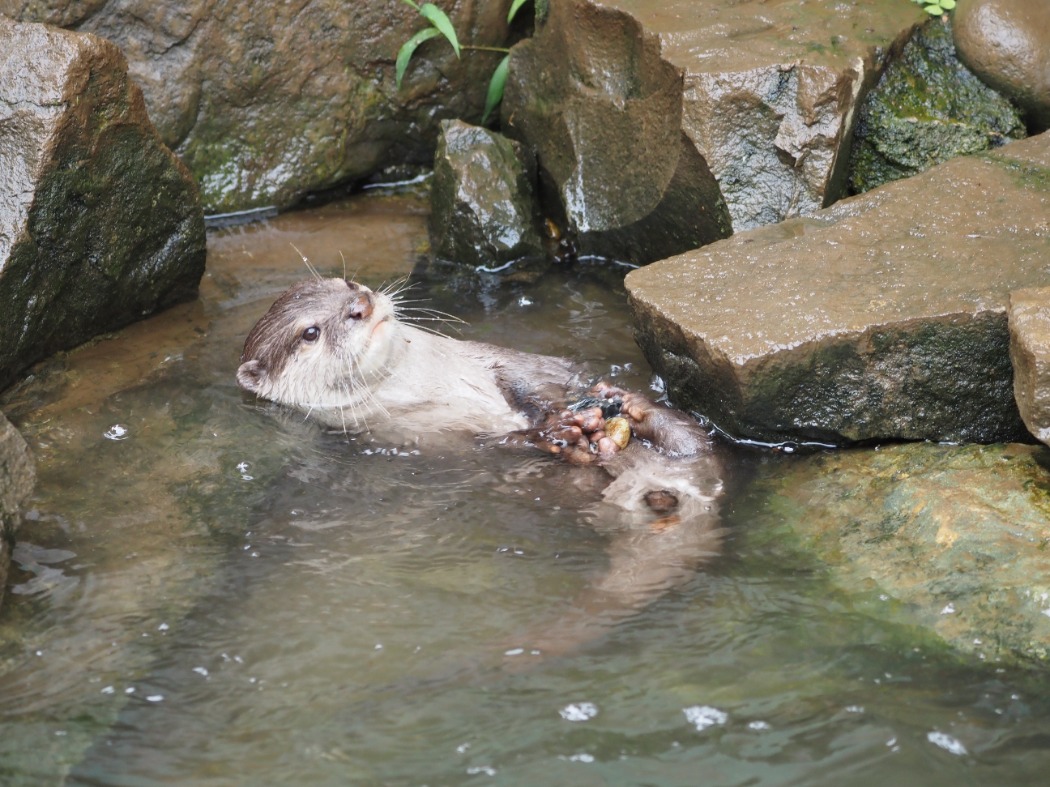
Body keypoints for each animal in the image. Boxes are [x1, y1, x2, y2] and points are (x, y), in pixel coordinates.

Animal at [237, 277, 722, 658]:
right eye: (310, 332)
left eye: (348, 283)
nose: (360, 305)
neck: (423, 384)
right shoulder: (420, 437)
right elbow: (493, 444)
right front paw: (551, 432)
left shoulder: (491, 359)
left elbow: (532, 376)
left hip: (694, 456)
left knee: (690, 442)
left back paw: (639, 411)